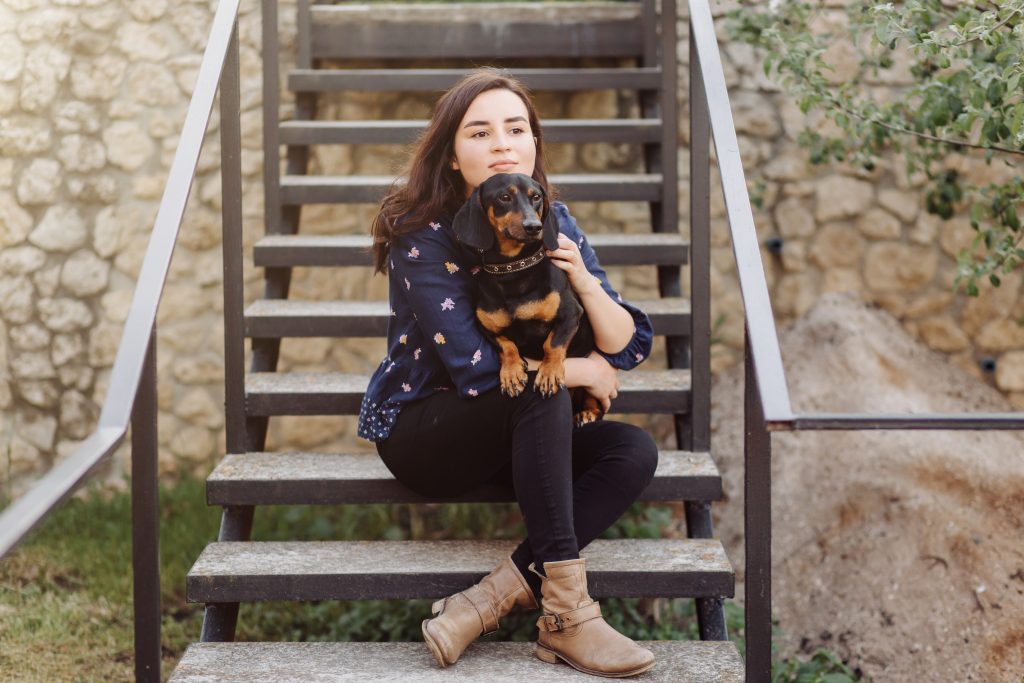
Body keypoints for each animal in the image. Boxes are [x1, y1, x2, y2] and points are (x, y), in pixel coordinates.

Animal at [452, 174, 602, 423]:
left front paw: (549, 373)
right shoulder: (486, 327)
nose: (534, 227)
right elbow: (506, 345)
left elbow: (552, 343)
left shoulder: (572, 315)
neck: (513, 270)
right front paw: (512, 372)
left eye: (536, 197)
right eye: (504, 197)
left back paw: (588, 411)